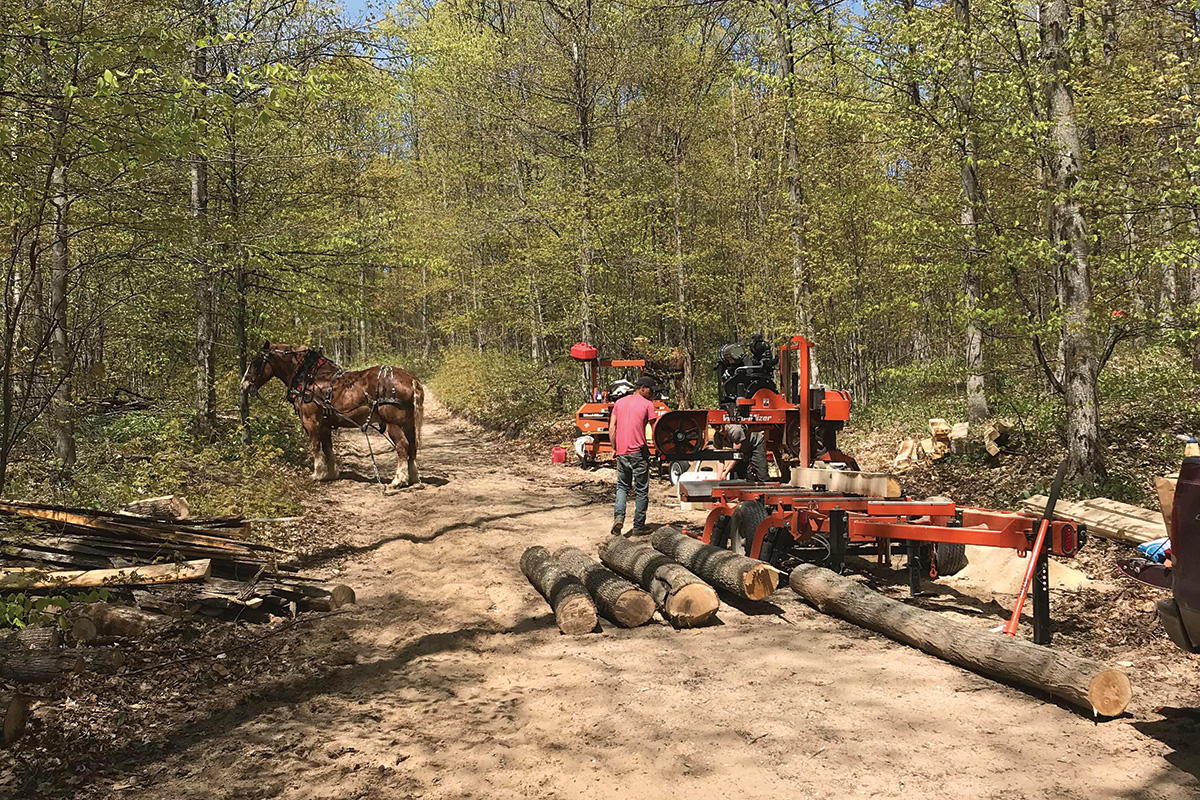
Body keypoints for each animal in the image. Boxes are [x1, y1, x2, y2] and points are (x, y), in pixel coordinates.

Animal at [237, 340, 422, 484]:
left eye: (256, 363)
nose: (243, 385)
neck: (308, 377)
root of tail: (411, 379)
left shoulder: (310, 421)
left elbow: (315, 446)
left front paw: (318, 474)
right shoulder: (324, 424)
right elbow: (328, 448)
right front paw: (331, 473)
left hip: (394, 424)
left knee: (402, 446)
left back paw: (398, 479)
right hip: (408, 424)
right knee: (413, 447)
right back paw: (412, 477)